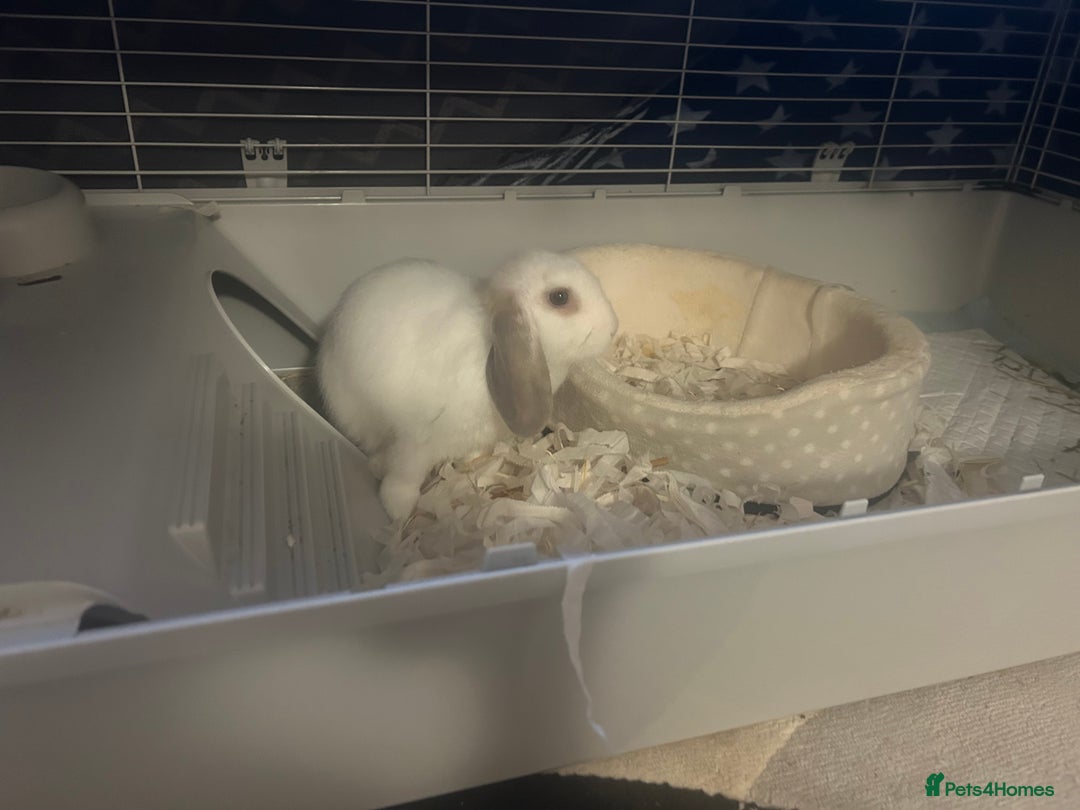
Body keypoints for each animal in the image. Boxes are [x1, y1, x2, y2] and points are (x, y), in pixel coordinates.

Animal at [316, 250, 620, 522]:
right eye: (560, 297)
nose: (613, 327)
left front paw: (471, 468)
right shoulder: (416, 439)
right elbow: (405, 474)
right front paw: (398, 511)